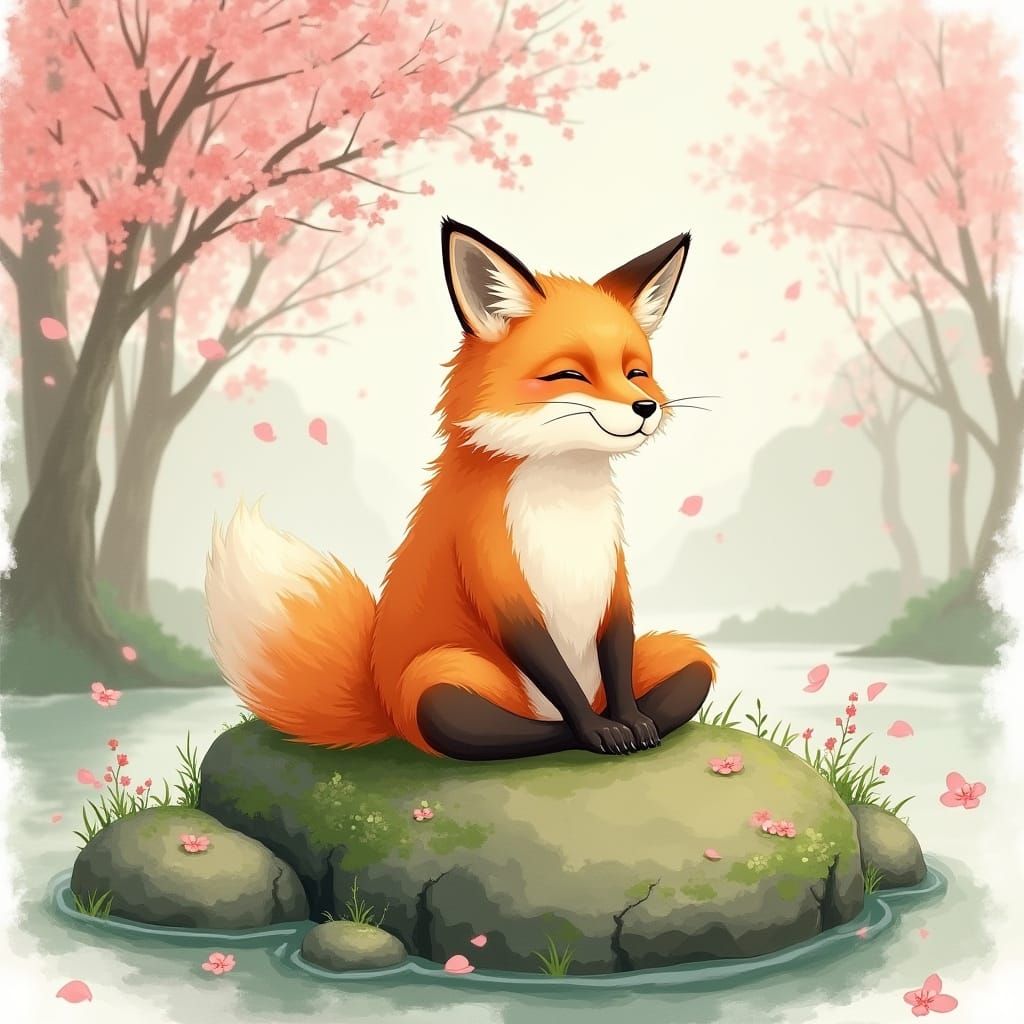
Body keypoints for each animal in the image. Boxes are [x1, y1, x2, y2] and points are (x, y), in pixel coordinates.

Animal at [205, 217, 716, 761]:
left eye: (636, 372)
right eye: (570, 374)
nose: (645, 407)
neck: (565, 502)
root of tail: (381, 702)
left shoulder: (612, 577)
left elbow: (619, 646)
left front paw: (630, 721)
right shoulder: (492, 566)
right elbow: (549, 665)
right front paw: (600, 731)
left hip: (679, 652)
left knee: (688, 674)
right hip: (443, 676)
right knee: (508, 731)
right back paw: (579, 732)